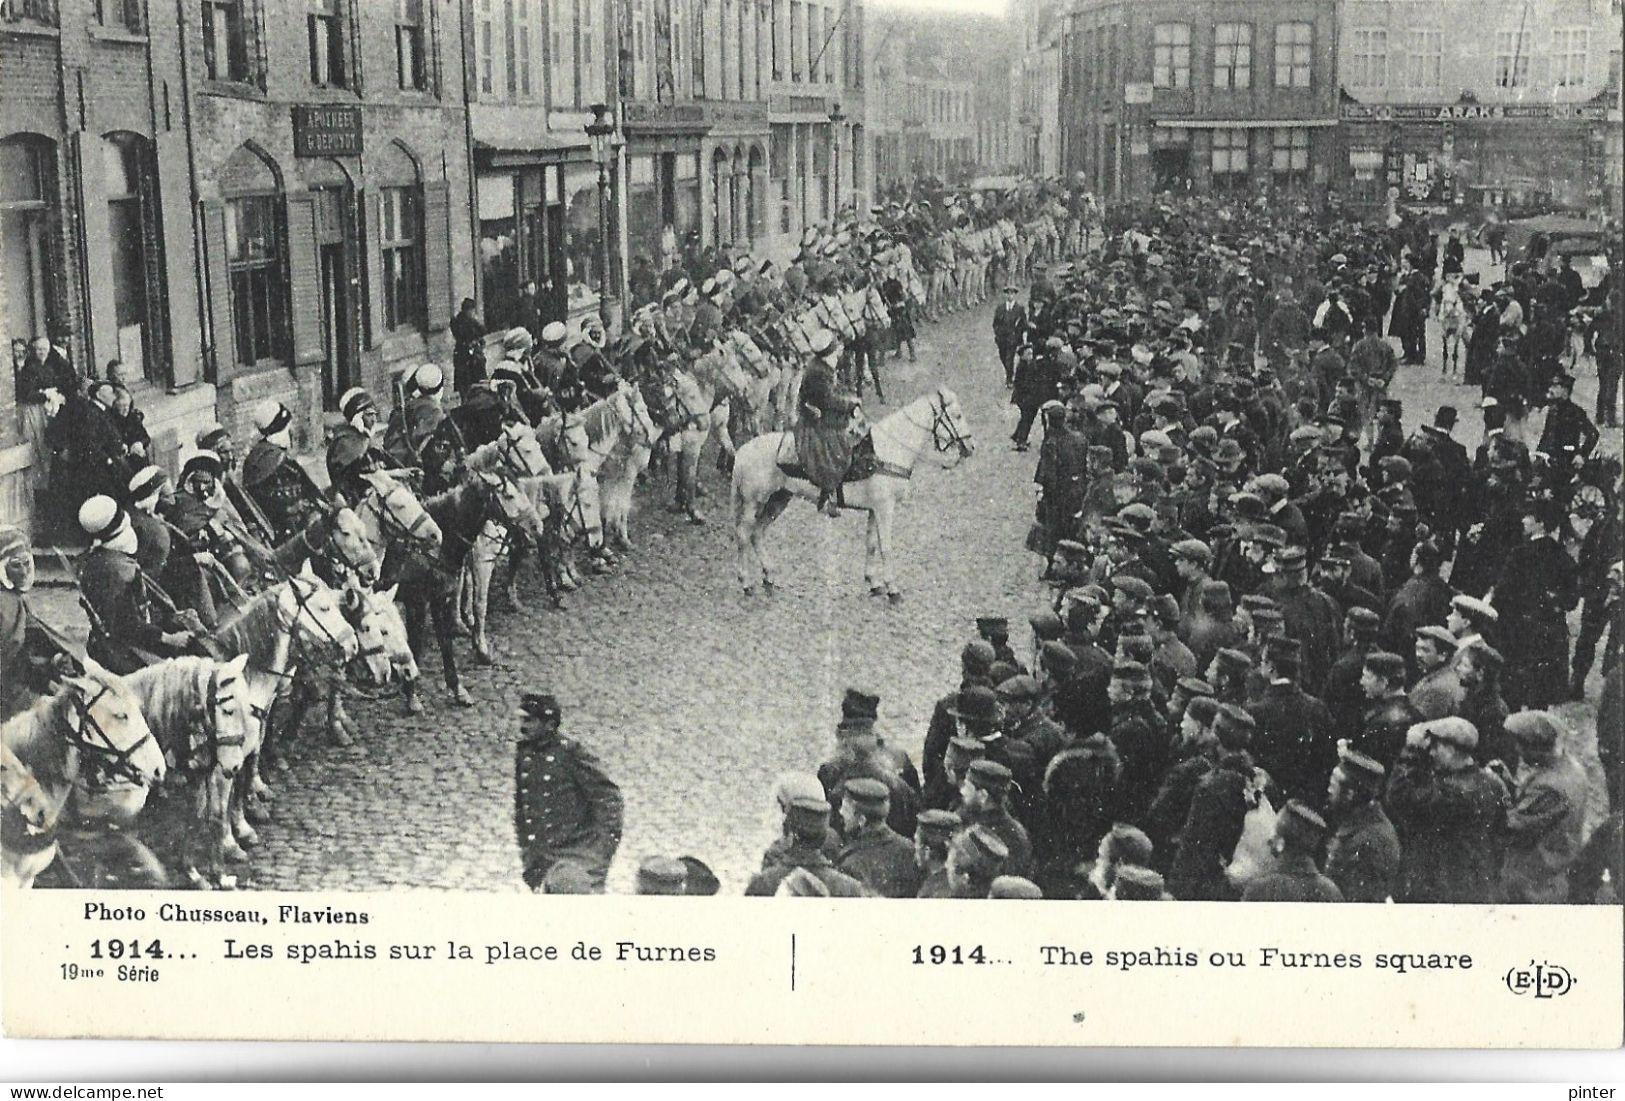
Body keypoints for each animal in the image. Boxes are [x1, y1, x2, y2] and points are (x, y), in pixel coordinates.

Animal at [734, 389, 975, 604]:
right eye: (957, 415)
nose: (970, 447)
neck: (888, 450)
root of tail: (742, 451)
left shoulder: (874, 509)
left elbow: (871, 544)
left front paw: (874, 583)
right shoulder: (885, 508)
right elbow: (886, 547)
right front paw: (893, 589)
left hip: (779, 499)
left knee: (757, 533)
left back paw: (769, 578)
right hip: (754, 502)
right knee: (744, 534)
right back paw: (746, 583)